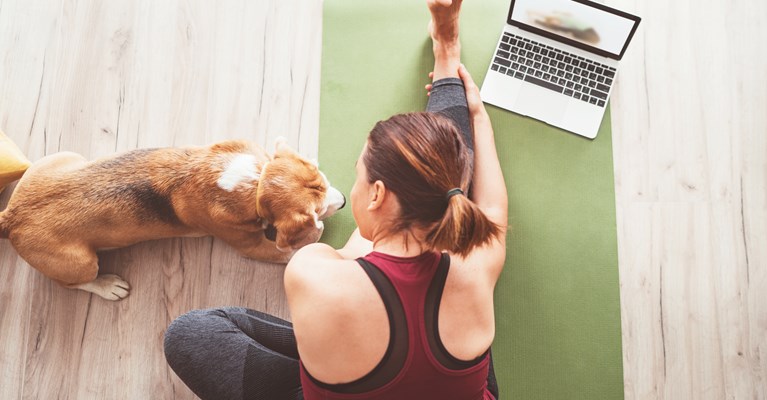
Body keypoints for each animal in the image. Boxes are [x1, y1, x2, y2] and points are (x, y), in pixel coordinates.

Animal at [0, 138, 344, 300]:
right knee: (73, 283)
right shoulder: (252, 246)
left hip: (65, 157)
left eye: (326, 181)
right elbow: (293, 251)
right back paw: (108, 286)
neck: (255, 180)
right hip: (80, 262)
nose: (341, 202)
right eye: (319, 209)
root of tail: (12, 217)